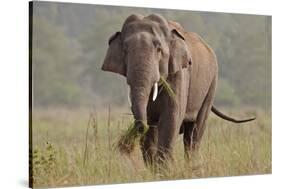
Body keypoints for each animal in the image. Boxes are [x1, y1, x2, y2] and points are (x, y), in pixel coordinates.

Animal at [100, 14, 254, 166]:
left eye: (159, 49)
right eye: (125, 51)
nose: (138, 127)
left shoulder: (180, 74)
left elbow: (171, 118)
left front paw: (164, 168)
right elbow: (151, 127)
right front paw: (153, 168)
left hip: (212, 83)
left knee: (194, 133)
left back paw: (191, 166)